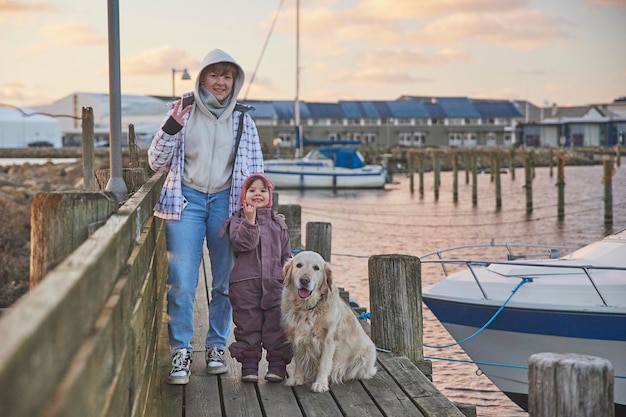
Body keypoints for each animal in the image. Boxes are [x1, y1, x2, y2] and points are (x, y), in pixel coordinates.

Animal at [282, 250, 376, 394]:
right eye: (298, 265)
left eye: (316, 268)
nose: (304, 280)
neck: (308, 308)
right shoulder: (297, 336)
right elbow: (299, 359)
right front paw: (297, 378)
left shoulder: (328, 341)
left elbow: (324, 364)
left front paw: (320, 384)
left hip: (365, 354)